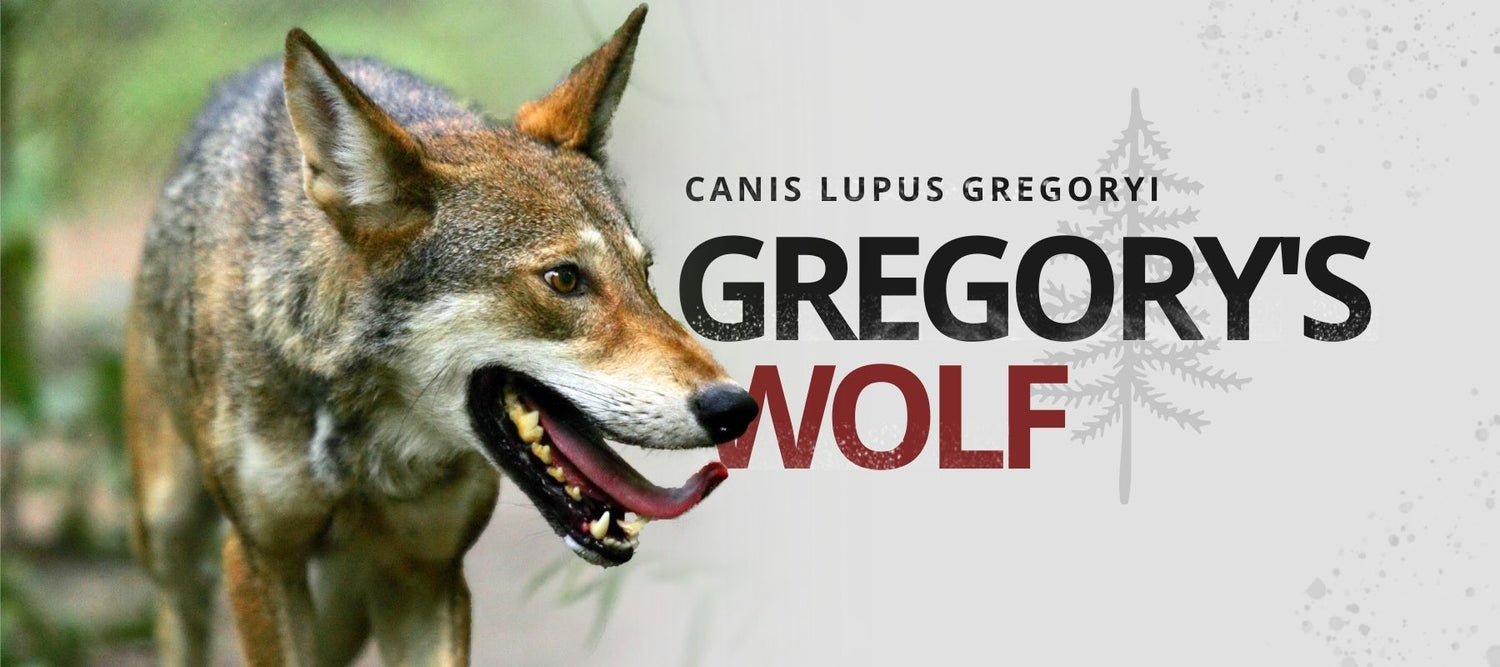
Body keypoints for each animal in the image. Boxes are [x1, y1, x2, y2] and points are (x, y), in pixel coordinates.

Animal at [124, 6, 757, 665]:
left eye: (645, 273)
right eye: (563, 279)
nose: (734, 407)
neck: (365, 440)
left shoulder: (427, 574)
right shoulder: (261, 562)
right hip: (171, 535)